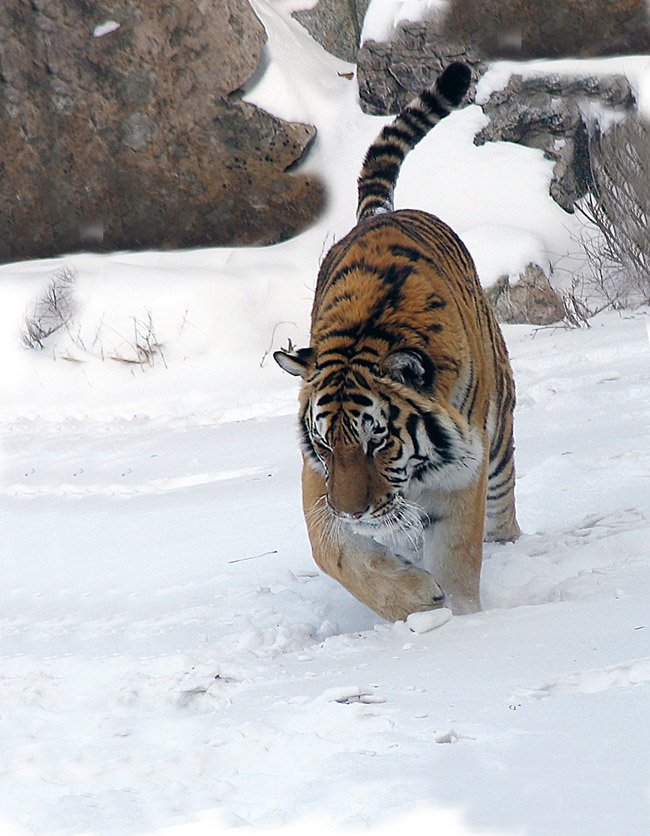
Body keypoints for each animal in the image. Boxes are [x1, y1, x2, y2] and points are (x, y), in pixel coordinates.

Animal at [276, 62, 520, 620]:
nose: (354, 512)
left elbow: (457, 558)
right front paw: (415, 602)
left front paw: (462, 618)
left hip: (498, 440)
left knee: (503, 513)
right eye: (326, 444)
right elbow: (334, 550)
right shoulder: (315, 479)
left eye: (378, 440)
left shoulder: (464, 471)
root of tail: (378, 212)